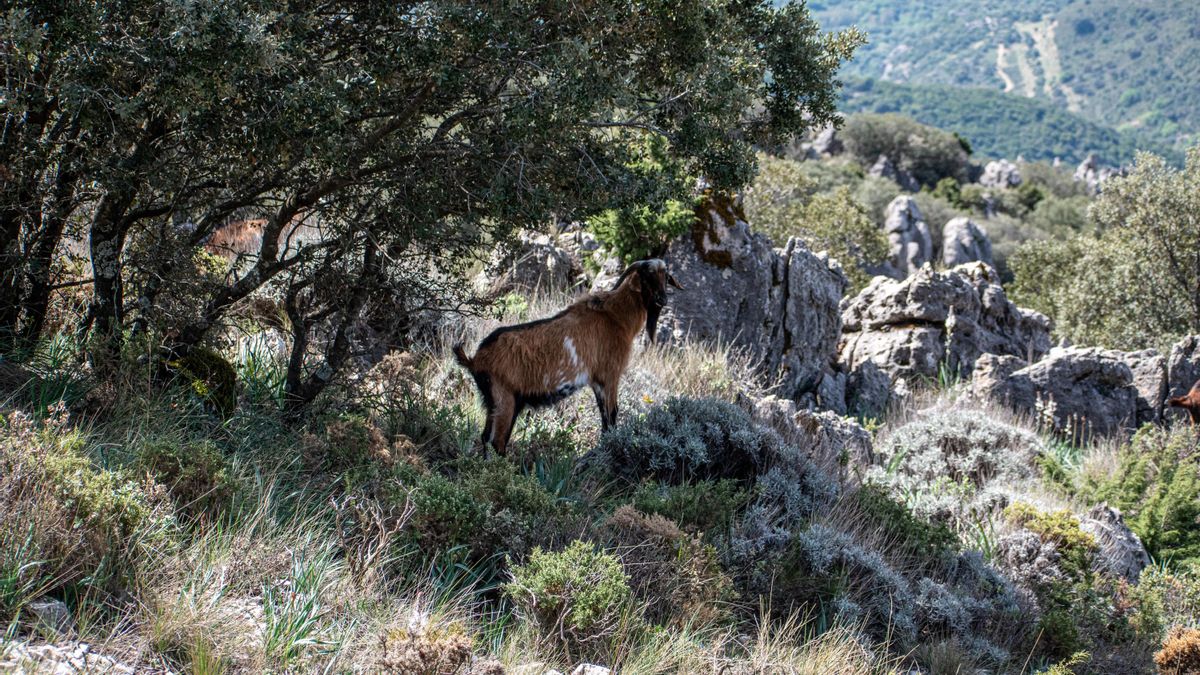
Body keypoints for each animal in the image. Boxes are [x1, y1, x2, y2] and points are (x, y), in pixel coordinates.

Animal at [453, 259, 682, 455]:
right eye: (647, 276)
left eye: (665, 276)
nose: (663, 299)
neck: (615, 316)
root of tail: (476, 359)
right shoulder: (610, 376)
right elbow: (612, 415)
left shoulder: (596, 382)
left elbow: (604, 418)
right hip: (505, 399)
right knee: (497, 442)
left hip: (492, 402)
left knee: (485, 438)